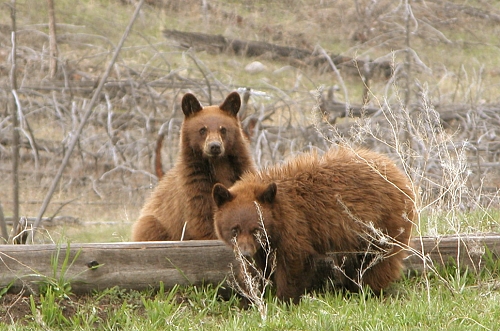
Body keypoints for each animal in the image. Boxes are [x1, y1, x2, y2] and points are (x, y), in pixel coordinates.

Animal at [133, 92, 256, 243]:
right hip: (153, 223)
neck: (218, 164)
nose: (214, 146)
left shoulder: (241, 172)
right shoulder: (194, 185)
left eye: (223, 129)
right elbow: (202, 220)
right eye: (202, 129)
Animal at [213, 147, 416, 304]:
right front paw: (251, 298)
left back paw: (369, 290)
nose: (245, 252)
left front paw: (284, 300)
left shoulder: (294, 223)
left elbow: (293, 261)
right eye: (234, 229)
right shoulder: (263, 245)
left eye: (256, 229)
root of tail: (400, 175)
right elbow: (256, 268)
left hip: (383, 223)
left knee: (379, 259)